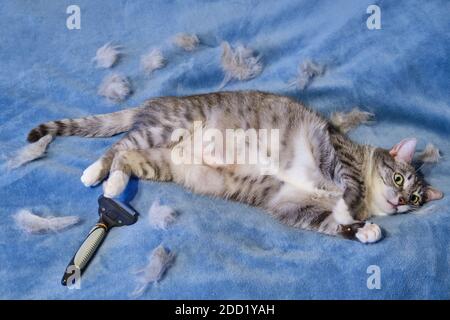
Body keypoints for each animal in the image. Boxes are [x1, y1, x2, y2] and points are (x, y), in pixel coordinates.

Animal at [26, 91, 442, 244]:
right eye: (400, 177)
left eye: (417, 198)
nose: (402, 201)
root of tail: (156, 100)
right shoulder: (337, 153)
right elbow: (347, 189)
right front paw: (350, 208)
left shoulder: (291, 205)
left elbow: (328, 223)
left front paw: (365, 230)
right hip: (165, 129)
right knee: (118, 146)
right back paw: (97, 175)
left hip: (162, 162)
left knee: (127, 158)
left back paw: (113, 186)